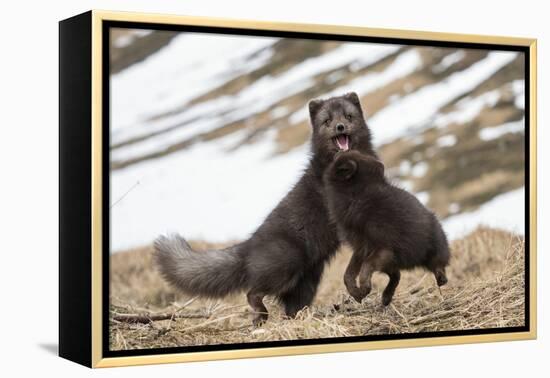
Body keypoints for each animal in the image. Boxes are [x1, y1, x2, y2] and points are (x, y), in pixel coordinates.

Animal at [155, 92, 380, 324]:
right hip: (286, 265)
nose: (340, 127)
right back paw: (261, 315)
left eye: (348, 116)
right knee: (252, 292)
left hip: (307, 281)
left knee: (289, 307)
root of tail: (249, 245)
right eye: (327, 121)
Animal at [326, 151, 450, 308]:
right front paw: (357, 293)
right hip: (390, 263)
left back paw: (439, 278)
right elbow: (348, 274)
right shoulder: (361, 248)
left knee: (439, 271)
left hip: (430, 251)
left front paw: (364, 289)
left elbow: (365, 268)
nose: (339, 151)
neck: (359, 195)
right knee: (397, 275)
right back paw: (386, 298)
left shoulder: (383, 248)